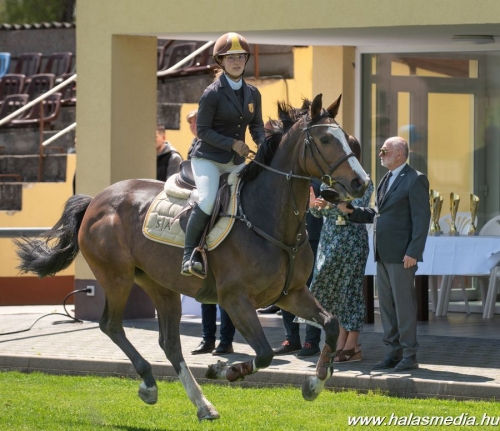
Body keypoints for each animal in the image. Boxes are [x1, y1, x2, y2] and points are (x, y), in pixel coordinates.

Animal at [15, 94, 369, 421]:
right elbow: (265, 353)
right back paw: (150, 384)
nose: (361, 182)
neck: (270, 219)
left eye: (350, 139)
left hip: (161, 286)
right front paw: (224, 370)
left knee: (169, 343)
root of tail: (95, 201)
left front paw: (314, 384)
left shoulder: (290, 294)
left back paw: (202, 404)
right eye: (325, 140)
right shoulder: (235, 300)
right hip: (116, 277)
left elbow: (331, 324)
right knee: (112, 326)